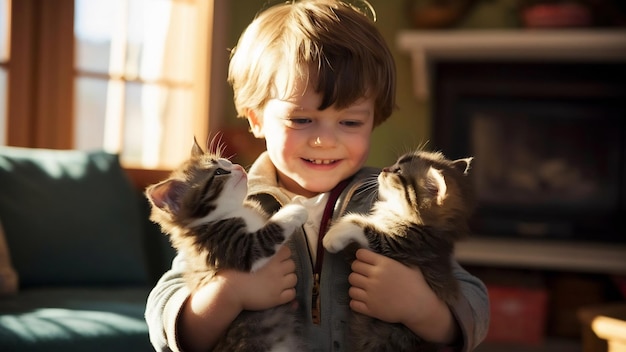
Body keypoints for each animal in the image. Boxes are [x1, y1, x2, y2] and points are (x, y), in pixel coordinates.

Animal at [144, 139, 310, 350]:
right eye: (218, 172)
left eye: (226, 163)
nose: (238, 166)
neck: (232, 212)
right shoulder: (234, 248)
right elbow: (265, 237)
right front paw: (296, 209)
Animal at [322, 150, 472, 350]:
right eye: (395, 164)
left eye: (399, 171)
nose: (384, 169)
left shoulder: (399, 247)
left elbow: (360, 224)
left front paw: (332, 236)